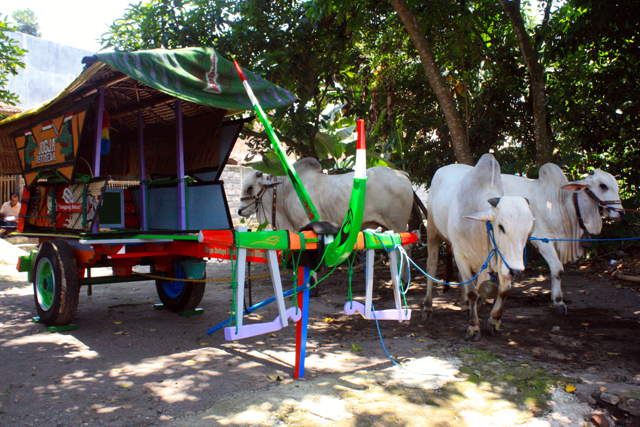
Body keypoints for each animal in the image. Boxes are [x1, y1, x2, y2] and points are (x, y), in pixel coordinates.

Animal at [424, 155, 536, 342]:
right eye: (501, 227)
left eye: (528, 230)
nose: (517, 272)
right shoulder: (460, 254)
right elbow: (472, 292)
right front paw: (474, 327)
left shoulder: (501, 259)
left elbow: (503, 291)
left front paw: (493, 321)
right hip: (432, 231)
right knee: (431, 266)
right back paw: (428, 306)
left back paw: (464, 306)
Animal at [502, 166, 624, 316]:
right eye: (603, 186)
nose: (621, 212)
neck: (564, 204)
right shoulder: (543, 240)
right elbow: (558, 270)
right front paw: (558, 302)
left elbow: (556, 271)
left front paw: (556, 299)